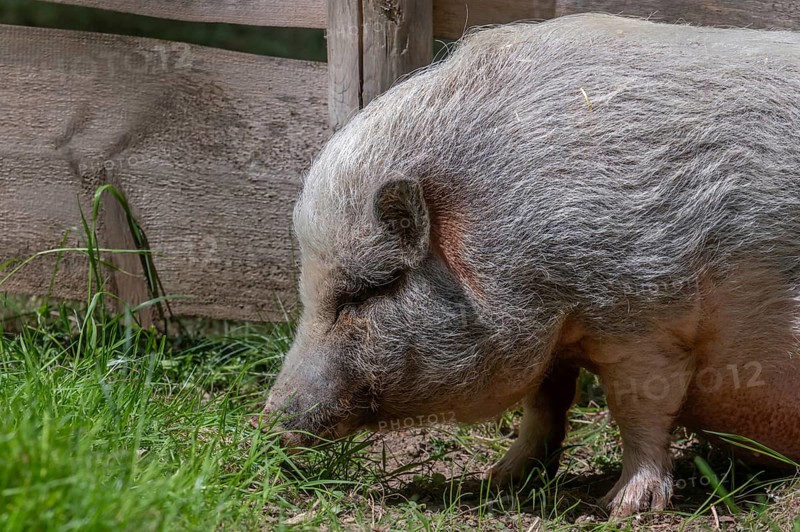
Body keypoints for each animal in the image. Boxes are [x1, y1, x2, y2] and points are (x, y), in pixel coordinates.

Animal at [260, 13, 800, 517]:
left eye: (369, 289)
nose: (266, 424)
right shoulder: (556, 340)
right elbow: (545, 404)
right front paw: (499, 478)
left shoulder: (647, 322)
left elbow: (638, 411)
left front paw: (620, 507)